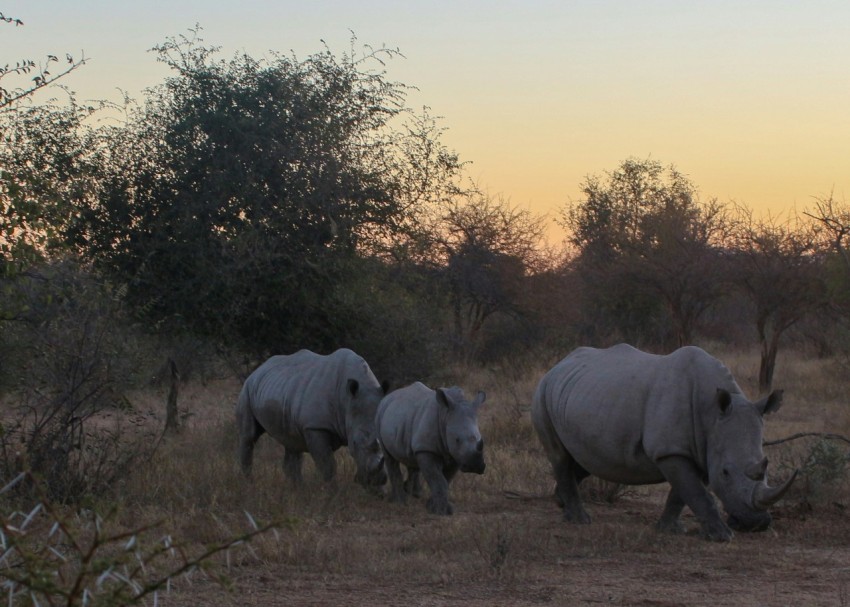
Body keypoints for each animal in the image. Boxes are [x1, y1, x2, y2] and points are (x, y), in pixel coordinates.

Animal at [235, 348, 388, 487]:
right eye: (355, 443)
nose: (377, 481)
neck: (347, 400)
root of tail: (258, 370)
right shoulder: (314, 427)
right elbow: (328, 466)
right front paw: (332, 492)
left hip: (281, 389)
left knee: (292, 443)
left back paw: (298, 489)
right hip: (247, 390)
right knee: (249, 436)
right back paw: (249, 484)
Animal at [376, 382, 486, 515]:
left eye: (479, 439)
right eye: (457, 440)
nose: (474, 466)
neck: (445, 415)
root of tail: (387, 397)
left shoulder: (456, 454)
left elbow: (446, 479)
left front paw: (434, 507)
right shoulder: (427, 449)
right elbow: (437, 479)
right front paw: (440, 512)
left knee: (412, 460)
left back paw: (413, 494)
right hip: (380, 415)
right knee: (389, 458)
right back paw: (400, 502)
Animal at [532, 344, 796, 541]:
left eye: (766, 470)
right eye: (725, 473)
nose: (756, 524)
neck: (712, 414)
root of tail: (556, 366)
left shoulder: (699, 449)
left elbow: (682, 494)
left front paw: (669, 529)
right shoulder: (670, 451)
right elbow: (697, 493)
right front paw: (722, 536)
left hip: (578, 395)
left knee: (584, 460)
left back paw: (560, 502)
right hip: (542, 393)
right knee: (559, 456)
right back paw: (579, 519)